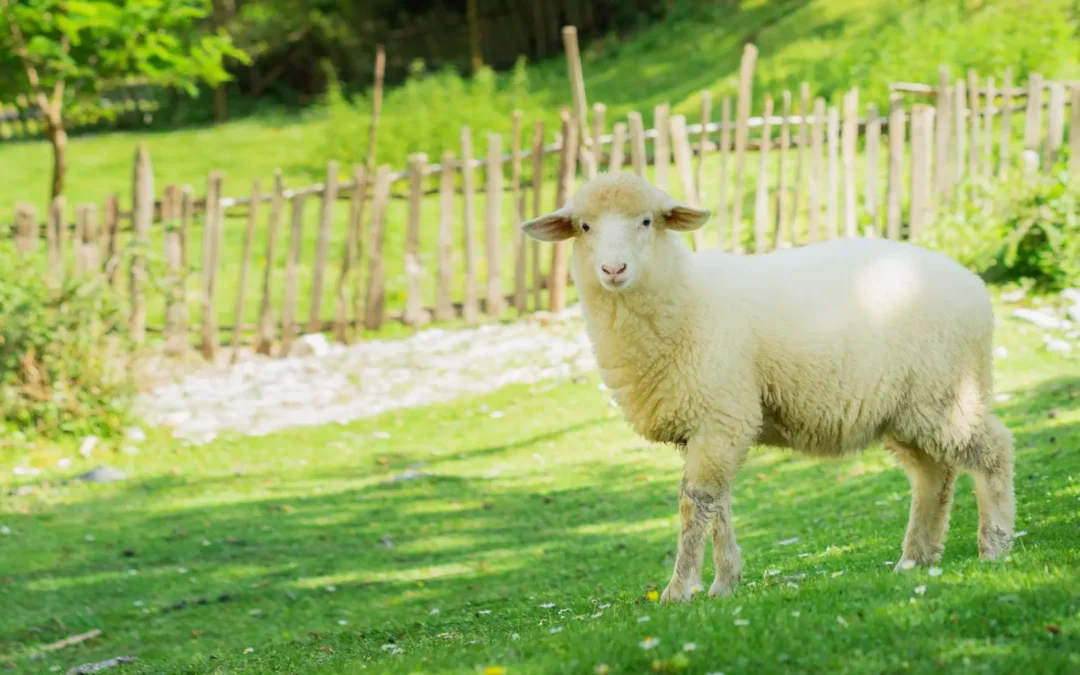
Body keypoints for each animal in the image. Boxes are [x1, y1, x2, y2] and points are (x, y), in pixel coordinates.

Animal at [518, 170, 1015, 604]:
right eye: (584, 226)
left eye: (646, 221)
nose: (613, 268)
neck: (685, 298)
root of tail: (974, 284)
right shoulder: (708, 425)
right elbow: (718, 504)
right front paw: (725, 583)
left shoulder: (719, 416)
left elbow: (695, 504)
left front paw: (681, 590)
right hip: (906, 409)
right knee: (933, 475)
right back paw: (916, 558)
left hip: (945, 394)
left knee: (993, 451)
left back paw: (995, 545)